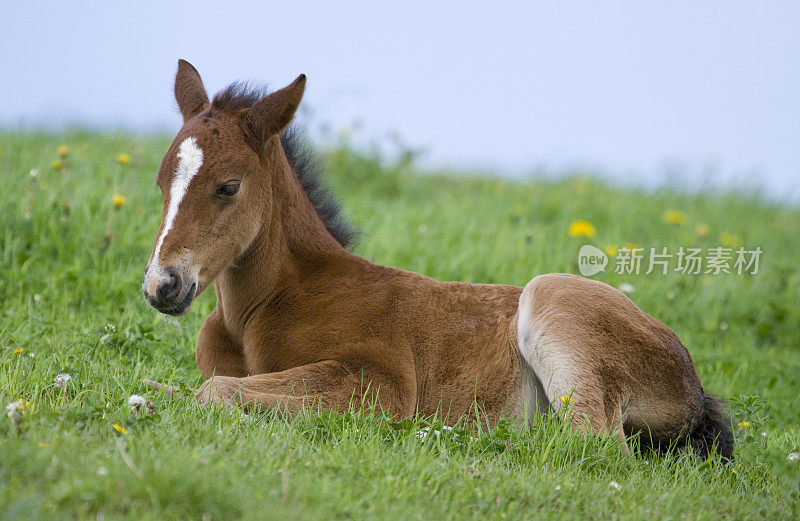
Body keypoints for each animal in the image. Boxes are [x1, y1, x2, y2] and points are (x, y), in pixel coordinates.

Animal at [142, 60, 732, 460]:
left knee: (596, 444)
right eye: (161, 180)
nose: (161, 285)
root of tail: (695, 387)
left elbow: (215, 391)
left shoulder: (378, 383)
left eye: (229, 186)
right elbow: (171, 390)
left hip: (553, 297)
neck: (263, 307)